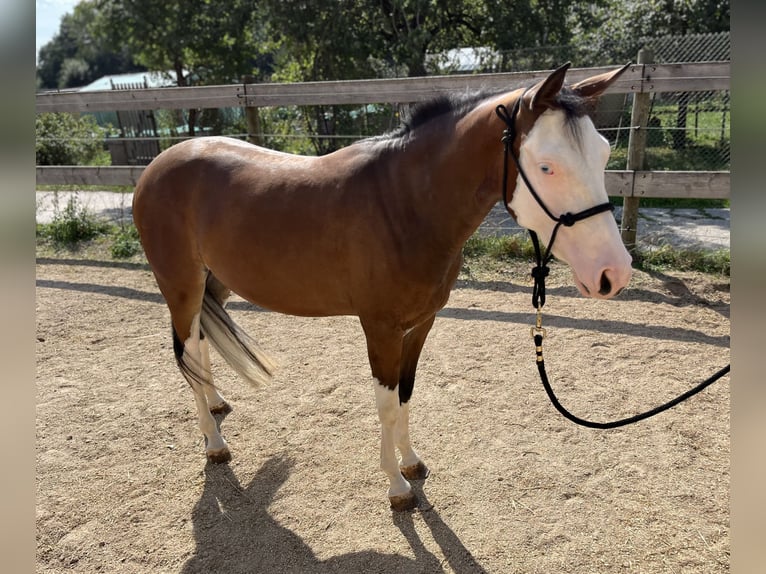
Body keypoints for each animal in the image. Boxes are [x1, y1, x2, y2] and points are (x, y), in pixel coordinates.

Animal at [134, 63, 636, 512]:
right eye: (546, 166)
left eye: (603, 154)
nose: (614, 273)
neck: (403, 205)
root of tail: (157, 166)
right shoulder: (380, 330)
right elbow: (387, 404)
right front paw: (397, 487)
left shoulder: (420, 325)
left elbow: (407, 394)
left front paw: (412, 463)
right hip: (181, 287)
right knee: (186, 351)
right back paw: (214, 442)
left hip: (214, 285)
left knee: (200, 343)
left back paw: (216, 405)